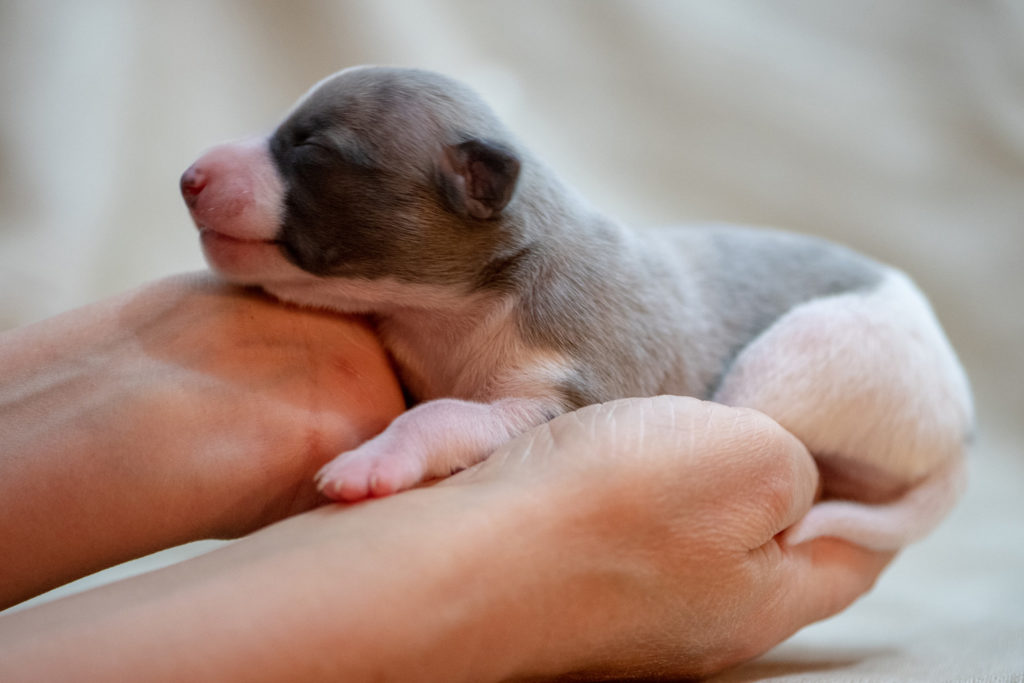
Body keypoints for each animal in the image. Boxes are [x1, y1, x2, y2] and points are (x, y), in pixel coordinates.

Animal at [180, 66, 970, 552]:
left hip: (811, 359)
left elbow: (441, 415)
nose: (188, 176)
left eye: (312, 150)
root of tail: (961, 428)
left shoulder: (561, 395)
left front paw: (376, 460)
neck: (463, 305)